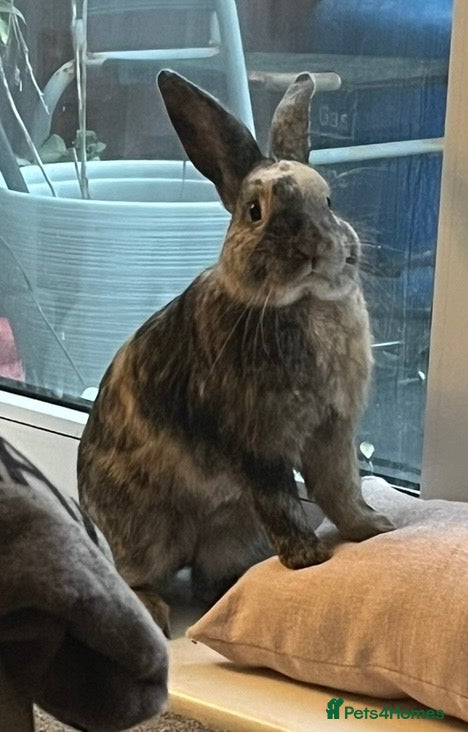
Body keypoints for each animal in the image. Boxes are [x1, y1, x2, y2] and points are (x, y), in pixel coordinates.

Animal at [78, 69, 394, 636]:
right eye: (254, 212)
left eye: (329, 202)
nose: (312, 249)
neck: (304, 302)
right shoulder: (257, 445)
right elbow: (283, 502)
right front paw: (309, 560)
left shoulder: (333, 433)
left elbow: (339, 489)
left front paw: (375, 529)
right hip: (146, 534)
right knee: (133, 578)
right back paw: (156, 613)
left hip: (231, 532)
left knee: (208, 578)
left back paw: (229, 586)